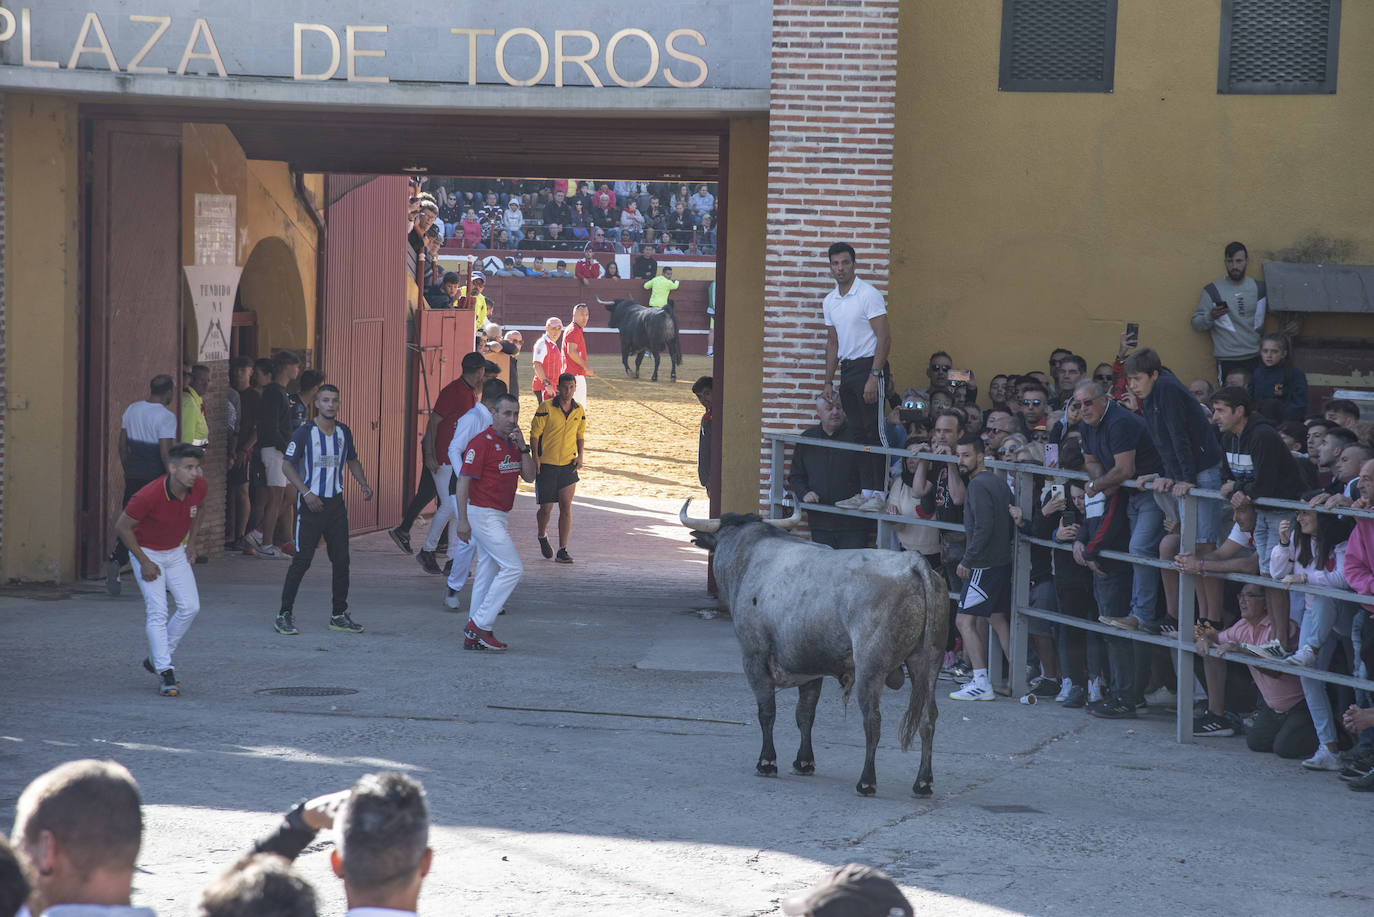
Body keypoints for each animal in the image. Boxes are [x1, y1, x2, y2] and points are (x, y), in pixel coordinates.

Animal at [681, 503, 950, 797]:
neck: (750, 555)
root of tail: (913, 562)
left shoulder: (754, 657)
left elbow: (767, 711)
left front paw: (767, 762)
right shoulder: (811, 667)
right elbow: (805, 714)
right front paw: (804, 761)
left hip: (871, 665)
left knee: (873, 719)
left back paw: (867, 781)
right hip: (928, 662)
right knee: (928, 718)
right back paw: (923, 782)